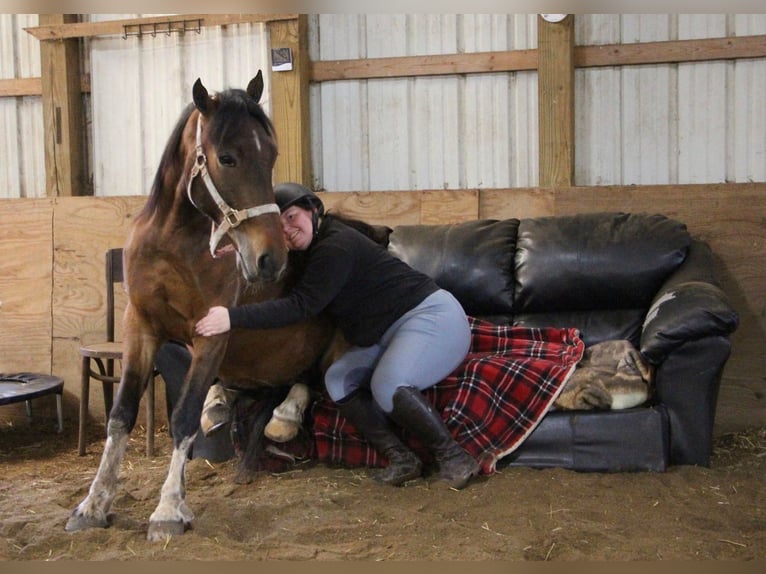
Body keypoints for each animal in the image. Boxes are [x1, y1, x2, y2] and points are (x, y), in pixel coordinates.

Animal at [68, 73, 336, 544]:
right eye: (227, 158)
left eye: (271, 155)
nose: (270, 259)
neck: (174, 245)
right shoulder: (141, 328)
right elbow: (120, 415)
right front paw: (94, 504)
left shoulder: (212, 334)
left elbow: (183, 416)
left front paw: (169, 509)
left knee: (311, 381)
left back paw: (282, 416)